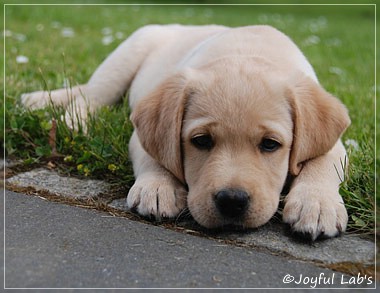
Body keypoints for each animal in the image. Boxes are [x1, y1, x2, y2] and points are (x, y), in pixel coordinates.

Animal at [21, 24, 350, 240]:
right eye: (201, 141)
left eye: (270, 144)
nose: (232, 201)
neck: (247, 50)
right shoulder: (143, 130)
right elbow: (156, 156)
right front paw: (158, 188)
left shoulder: (336, 144)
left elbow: (324, 160)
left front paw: (316, 204)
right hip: (124, 58)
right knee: (89, 96)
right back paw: (71, 122)